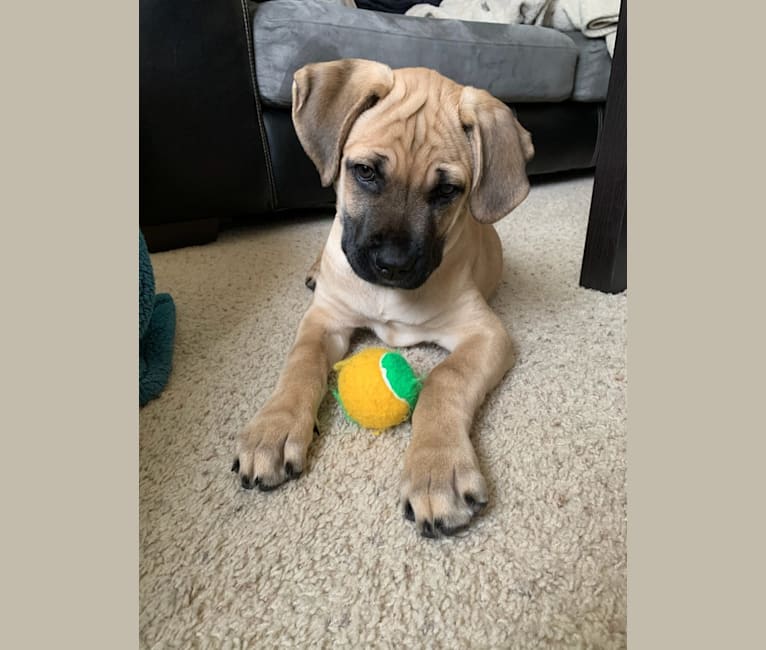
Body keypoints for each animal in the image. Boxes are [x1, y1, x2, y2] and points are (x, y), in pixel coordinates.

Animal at [231, 59, 536, 536]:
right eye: (366, 172)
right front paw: (273, 429)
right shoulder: (324, 319)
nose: (392, 264)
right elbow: (300, 364)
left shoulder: (486, 333)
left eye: (447, 191)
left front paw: (437, 470)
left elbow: (445, 380)